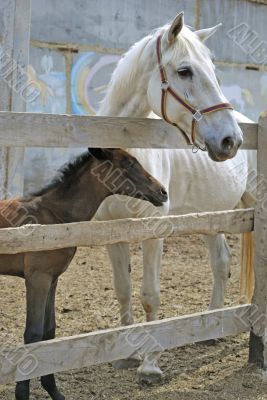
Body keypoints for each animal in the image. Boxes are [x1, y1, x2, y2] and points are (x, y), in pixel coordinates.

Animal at [0, 148, 168, 400]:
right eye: (127, 163)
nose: (162, 192)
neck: (55, 217)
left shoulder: (52, 279)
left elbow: (48, 332)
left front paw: (54, 391)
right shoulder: (37, 279)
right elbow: (33, 334)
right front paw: (22, 393)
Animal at [96, 11, 249, 382]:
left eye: (214, 71)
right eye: (184, 71)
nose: (231, 140)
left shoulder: (153, 231)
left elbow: (150, 295)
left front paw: (150, 364)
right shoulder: (112, 231)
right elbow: (123, 289)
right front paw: (125, 355)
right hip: (211, 218)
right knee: (221, 263)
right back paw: (211, 329)